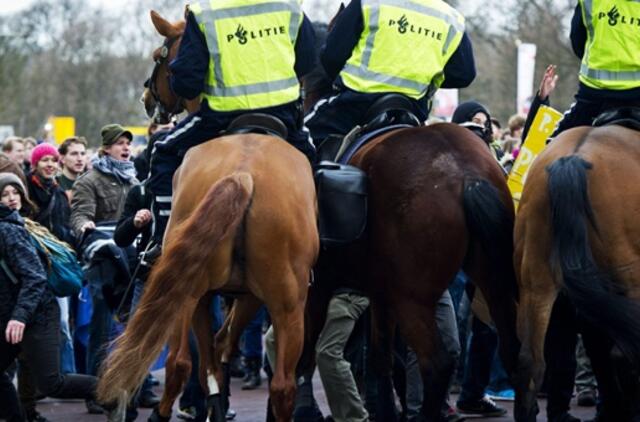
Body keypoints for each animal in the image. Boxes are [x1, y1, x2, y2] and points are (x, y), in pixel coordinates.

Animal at [96, 9, 318, 422]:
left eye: (160, 55)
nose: (147, 97)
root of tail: (244, 173)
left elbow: (207, 360)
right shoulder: (248, 296)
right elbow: (222, 347)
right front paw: (219, 402)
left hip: (192, 292)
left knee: (180, 363)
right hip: (286, 302)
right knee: (282, 384)